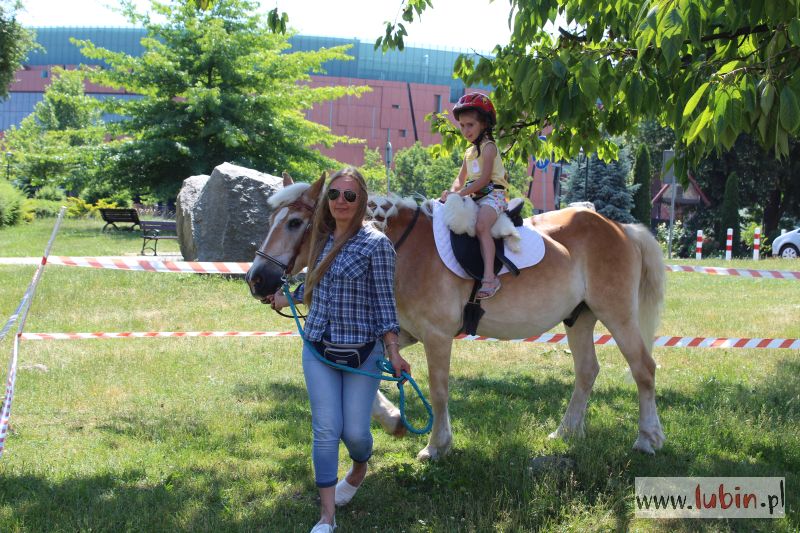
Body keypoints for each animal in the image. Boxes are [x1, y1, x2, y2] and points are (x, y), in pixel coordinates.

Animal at [245, 173, 667, 460]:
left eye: (295, 223)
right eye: (270, 221)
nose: (256, 278)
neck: (397, 250)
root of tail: (621, 228)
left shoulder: (436, 335)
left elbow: (438, 388)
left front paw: (436, 445)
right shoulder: (404, 331)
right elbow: (373, 373)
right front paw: (393, 419)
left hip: (617, 314)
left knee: (644, 368)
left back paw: (648, 438)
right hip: (579, 318)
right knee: (587, 372)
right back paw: (566, 432)